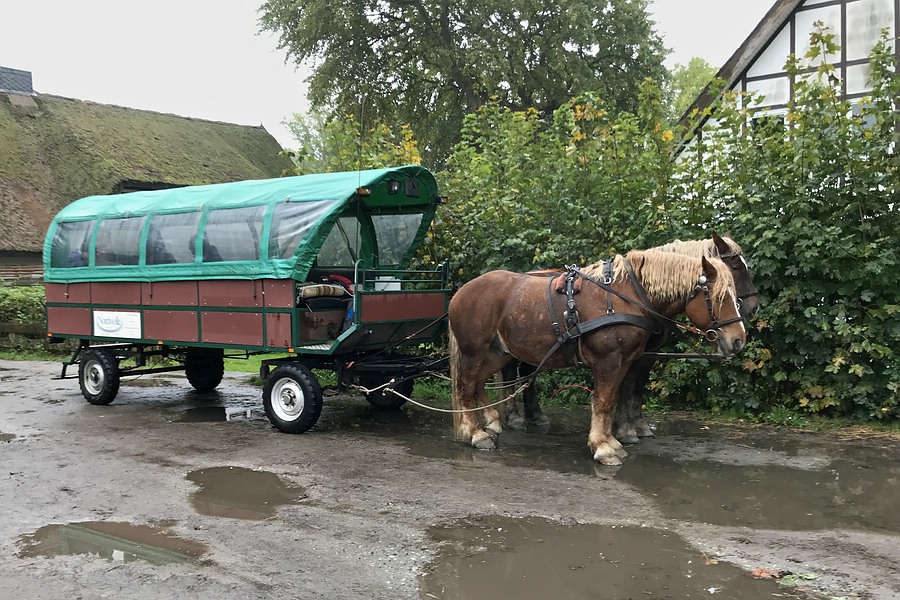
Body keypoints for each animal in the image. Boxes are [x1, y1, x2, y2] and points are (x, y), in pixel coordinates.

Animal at [448, 249, 747, 465]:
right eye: (720, 297)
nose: (738, 340)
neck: (627, 296)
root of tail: (461, 293)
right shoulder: (608, 360)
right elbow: (602, 402)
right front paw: (603, 448)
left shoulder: (625, 361)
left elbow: (612, 400)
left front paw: (612, 441)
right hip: (475, 351)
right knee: (465, 386)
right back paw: (475, 434)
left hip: (497, 352)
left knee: (477, 384)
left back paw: (491, 422)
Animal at [500, 233, 759, 443]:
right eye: (736, 267)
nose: (753, 307)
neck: (641, 295)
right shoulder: (632, 353)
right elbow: (627, 387)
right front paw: (626, 430)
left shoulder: (645, 354)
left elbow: (635, 388)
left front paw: (634, 426)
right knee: (511, 372)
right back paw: (514, 417)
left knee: (525, 371)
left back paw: (534, 415)